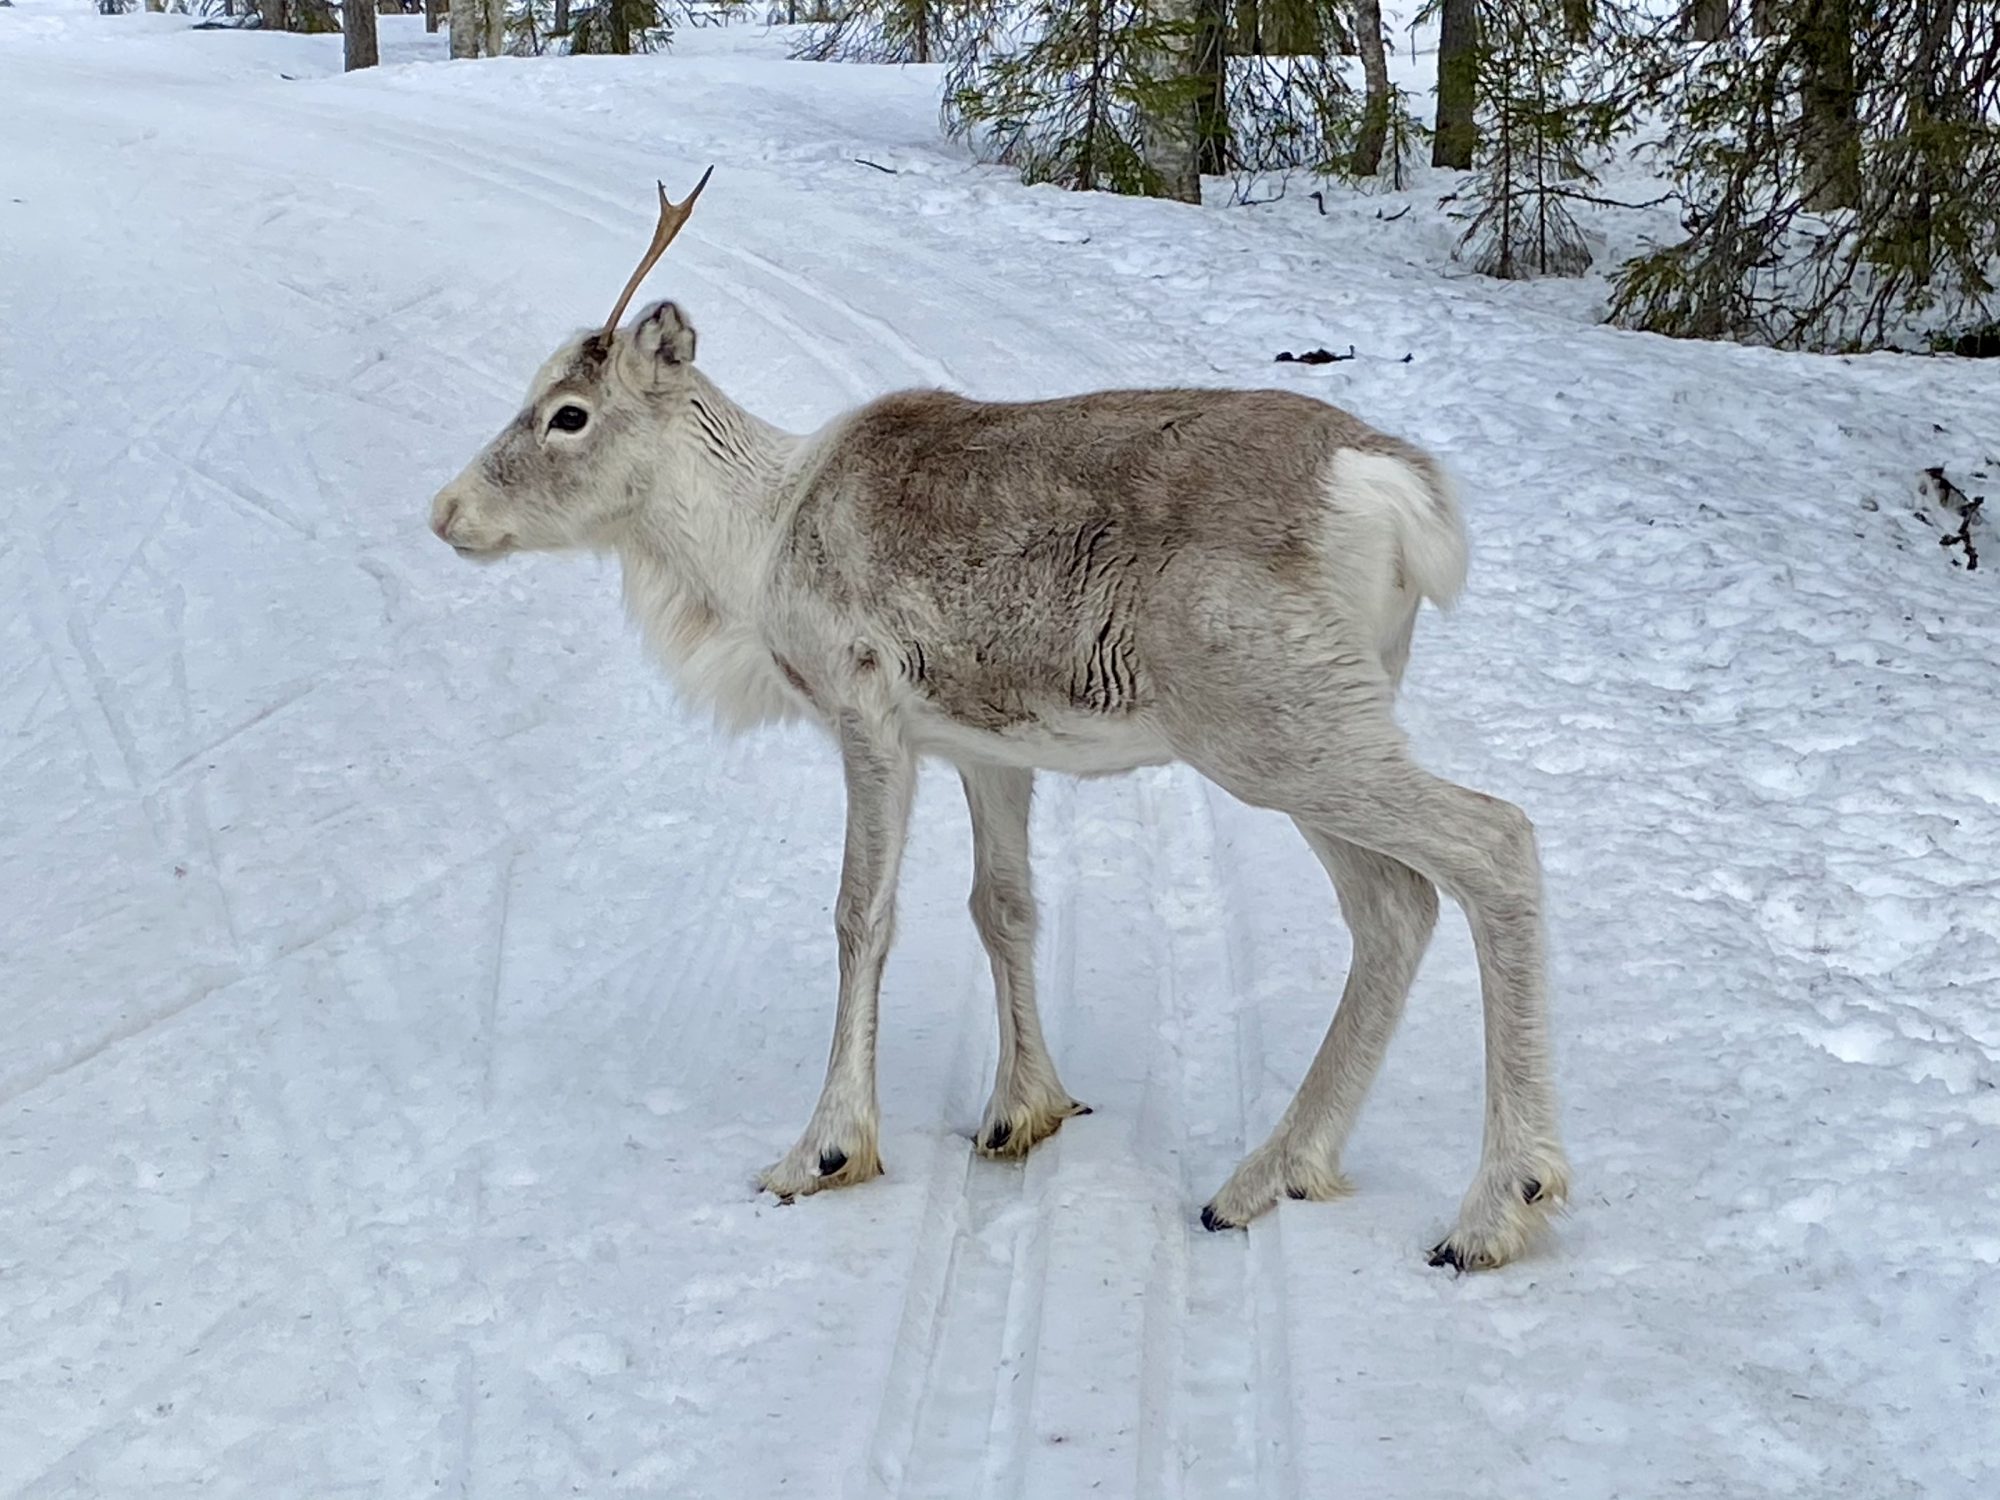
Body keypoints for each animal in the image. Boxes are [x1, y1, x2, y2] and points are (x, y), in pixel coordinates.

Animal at [427, 171, 1571, 1271]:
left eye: (567, 414)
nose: (445, 512)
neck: (753, 549)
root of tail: (1401, 495)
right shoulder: (985, 750)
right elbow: (1003, 907)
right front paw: (1025, 1109)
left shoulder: (867, 706)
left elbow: (860, 915)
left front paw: (824, 1149)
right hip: (1320, 714)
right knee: (1394, 906)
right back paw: (1268, 1176)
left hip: (1273, 719)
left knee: (1493, 840)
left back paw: (1492, 1208)